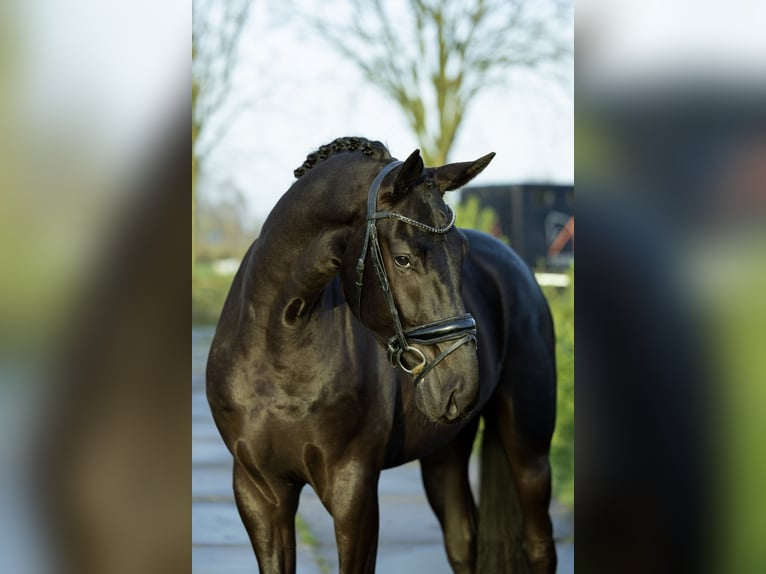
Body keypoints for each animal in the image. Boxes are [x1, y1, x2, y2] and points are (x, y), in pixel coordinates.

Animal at [207, 137, 560, 572]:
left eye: (461, 252)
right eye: (403, 258)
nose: (461, 382)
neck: (278, 347)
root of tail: (519, 268)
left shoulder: (354, 488)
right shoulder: (260, 492)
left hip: (529, 450)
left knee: (538, 544)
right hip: (445, 452)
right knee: (462, 540)